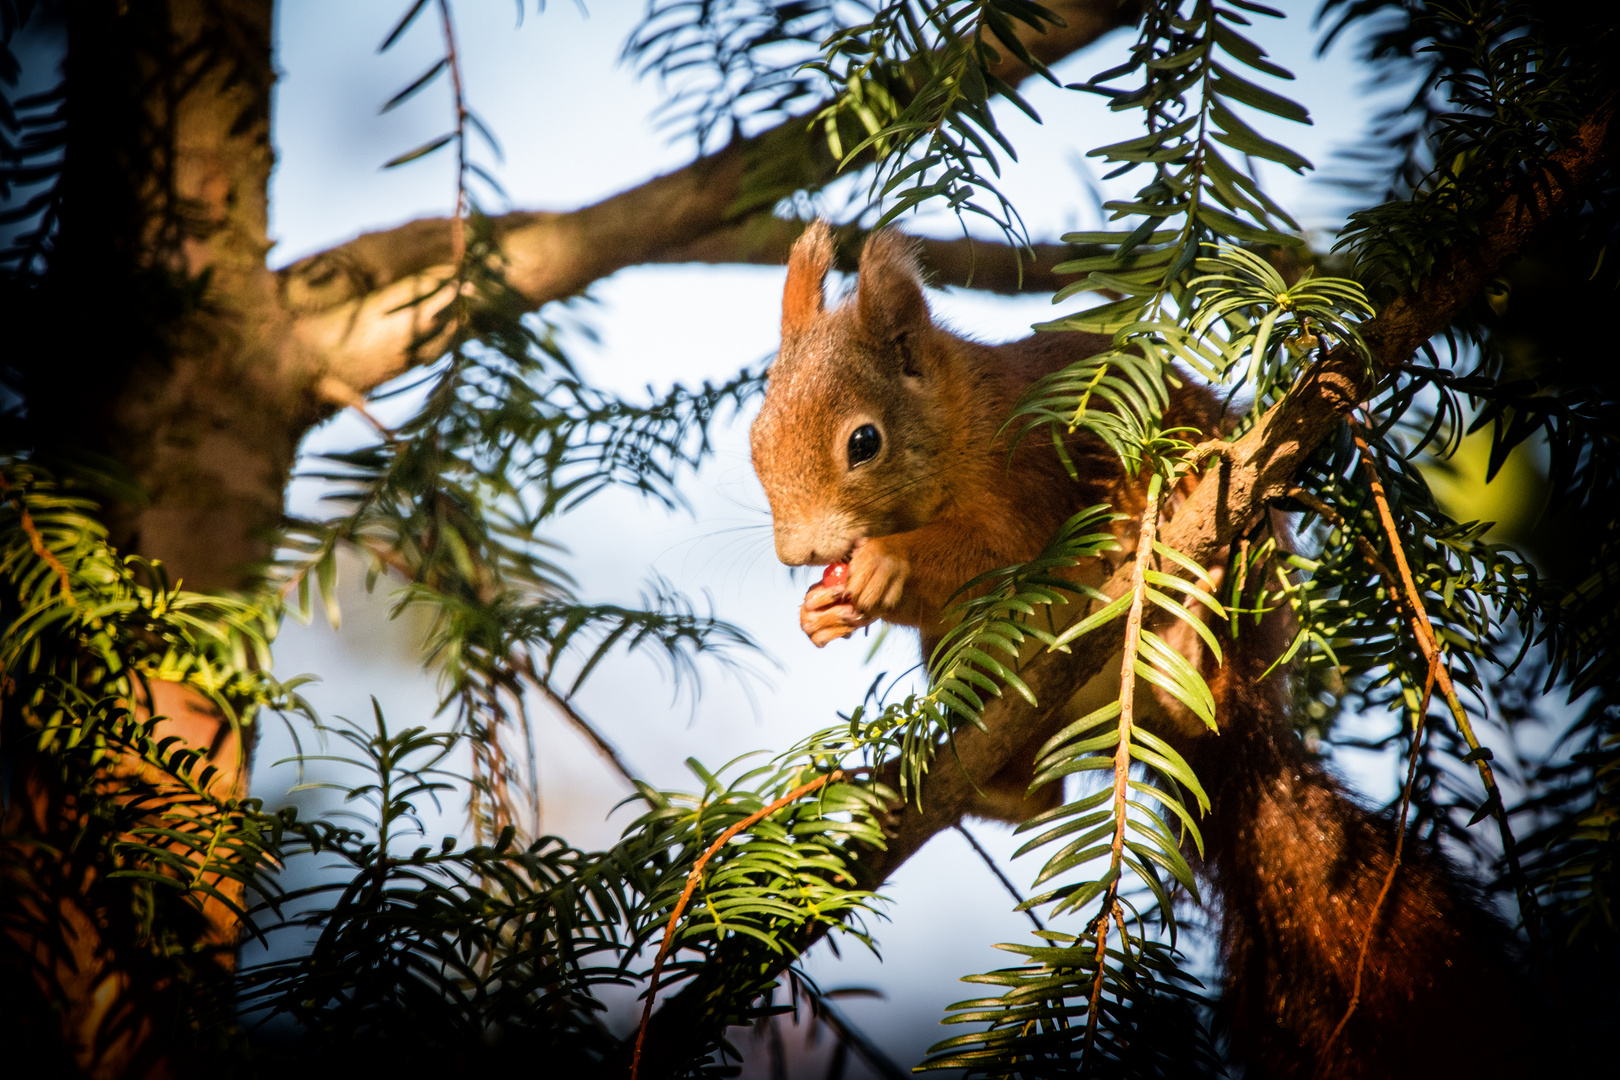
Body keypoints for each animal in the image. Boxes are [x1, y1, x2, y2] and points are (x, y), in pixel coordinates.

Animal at [751, 223, 1522, 1075]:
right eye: (756, 439)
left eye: (864, 442)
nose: (798, 554)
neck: (962, 422)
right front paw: (822, 612)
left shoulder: (1032, 480)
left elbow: (999, 553)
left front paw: (888, 565)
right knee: (1039, 799)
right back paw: (978, 785)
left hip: (1228, 627)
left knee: (1201, 691)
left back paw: (1190, 628)